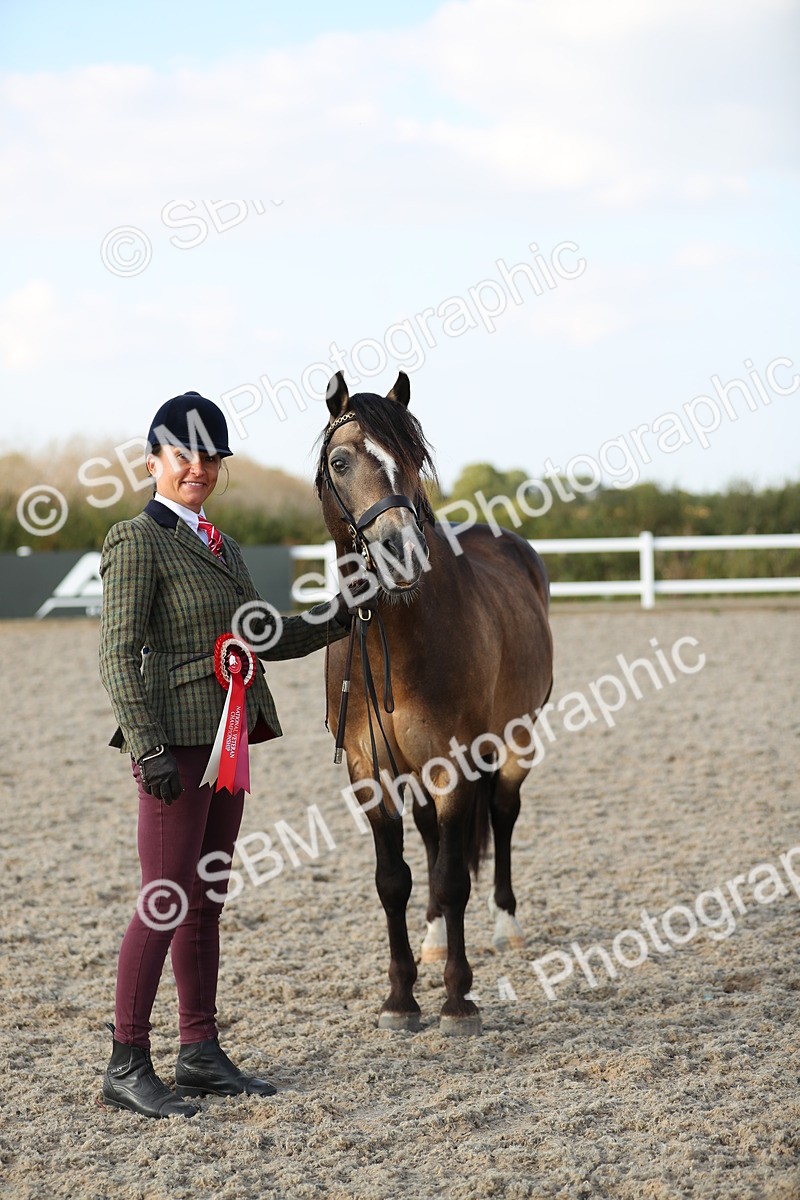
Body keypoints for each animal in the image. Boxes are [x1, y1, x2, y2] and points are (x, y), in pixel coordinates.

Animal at [315, 371, 553, 1035]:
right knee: (428, 838)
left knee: (502, 815)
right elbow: (393, 880)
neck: (397, 636)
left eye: (414, 459)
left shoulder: (456, 762)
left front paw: (457, 1000)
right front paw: (401, 997)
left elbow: (451, 880)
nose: (400, 551)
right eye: (340, 461)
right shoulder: (370, 772)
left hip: (515, 742)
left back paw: (505, 927)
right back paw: (433, 940)